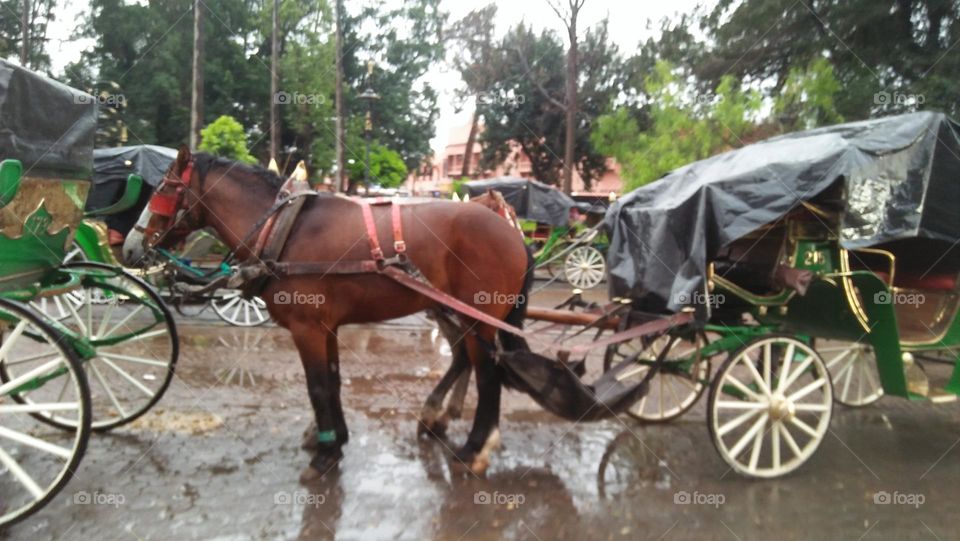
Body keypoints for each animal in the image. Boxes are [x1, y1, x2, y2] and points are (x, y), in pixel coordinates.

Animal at [120, 147, 532, 476]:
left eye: (163, 189)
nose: (128, 247)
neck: (282, 229)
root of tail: (513, 233)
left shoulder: (308, 328)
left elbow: (317, 386)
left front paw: (326, 453)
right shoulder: (327, 326)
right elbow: (332, 380)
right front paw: (335, 437)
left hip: (477, 319)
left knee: (488, 377)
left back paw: (474, 448)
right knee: (466, 360)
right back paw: (440, 420)